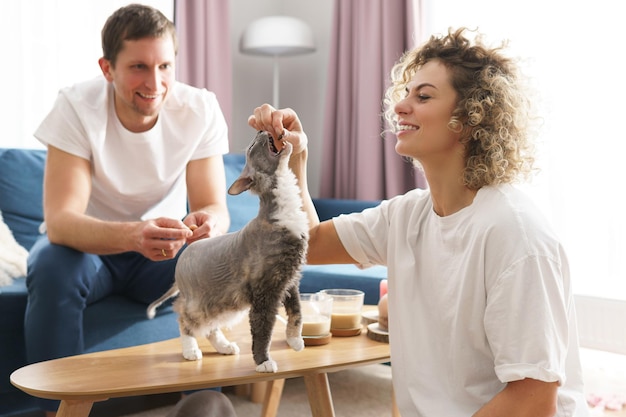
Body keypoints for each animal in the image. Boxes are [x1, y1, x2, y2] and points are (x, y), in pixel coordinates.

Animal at [149, 130, 310, 370]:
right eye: (252, 146)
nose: (261, 130)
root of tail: (184, 254)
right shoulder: (266, 291)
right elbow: (263, 330)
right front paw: (263, 362)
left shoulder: (290, 281)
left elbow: (297, 313)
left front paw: (295, 340)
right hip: (202, 302)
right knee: (184, 319)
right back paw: (191, 350)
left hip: (224, 302)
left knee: (210, 328)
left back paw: (224, 346)